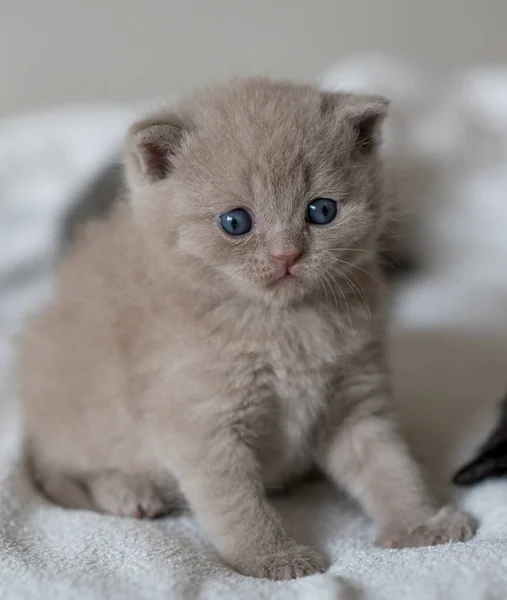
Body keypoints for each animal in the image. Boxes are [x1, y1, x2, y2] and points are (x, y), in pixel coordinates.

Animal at [16, 77, 476, 580]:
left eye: (322, 210)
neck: (283, 323)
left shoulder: (355, 399)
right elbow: (236, 504)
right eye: (235, 222)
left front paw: (418, 524)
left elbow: (390, 467)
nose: (286, 255)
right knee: (60, 471)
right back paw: (129, 492)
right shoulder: (199, 421)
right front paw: (272, 558)